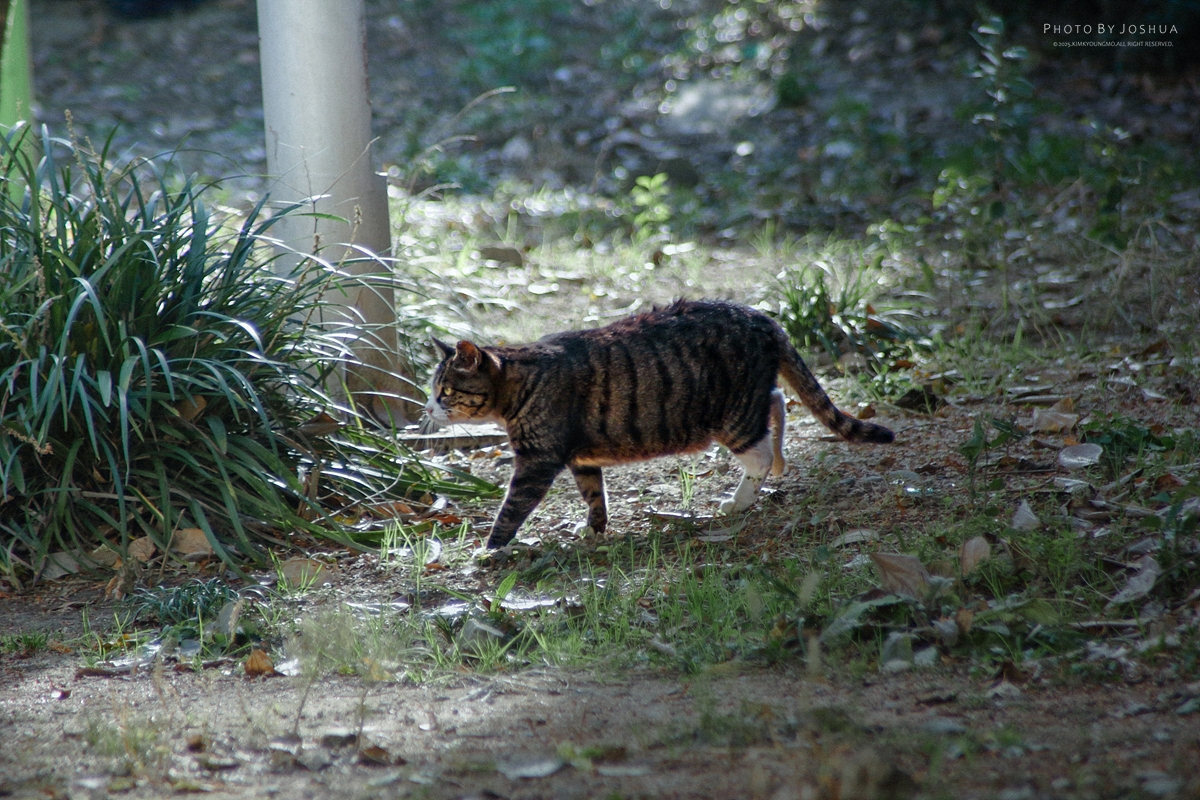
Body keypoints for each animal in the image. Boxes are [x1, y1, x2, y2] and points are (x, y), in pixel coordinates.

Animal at [424, 299, 894, 548]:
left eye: (444, 391)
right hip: (748, 402)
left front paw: (489, 550)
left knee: (758, 450)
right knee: (777, 402)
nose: (427, 410)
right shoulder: (580, 457)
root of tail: (762, 317)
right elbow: (594, 496)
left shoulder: (537, 460)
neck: (522, 379)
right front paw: (594, 529)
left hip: (732, 415)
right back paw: (779, 463)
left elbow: (512, 508)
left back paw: (742, 498)